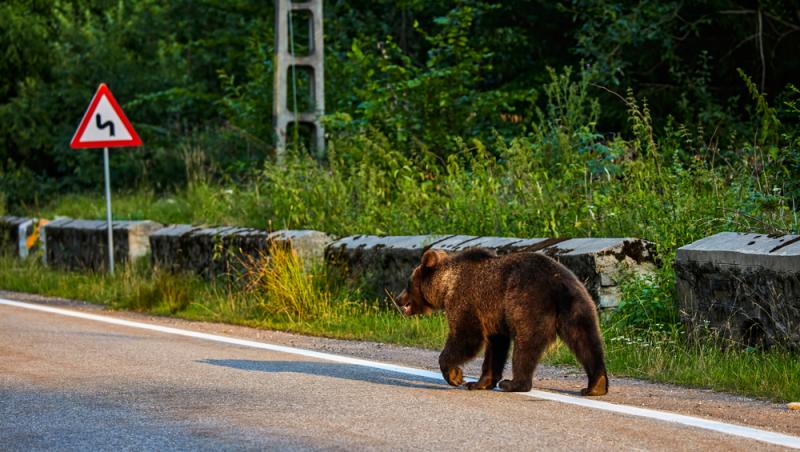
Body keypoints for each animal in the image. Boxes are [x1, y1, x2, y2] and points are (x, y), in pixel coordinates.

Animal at [396, 247, 608, 396]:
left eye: (408, 283)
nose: (398, 299)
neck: (446, 285)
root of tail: (558, 284)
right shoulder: (493, 315)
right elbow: (495, 347)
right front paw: (478, 382)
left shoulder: (466, 300)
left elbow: (466, 337)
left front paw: (456, 376)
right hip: (579, 305)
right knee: (586, 341)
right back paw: (596, 385)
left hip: (527, 303)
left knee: (526, 345)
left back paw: (513, 383)